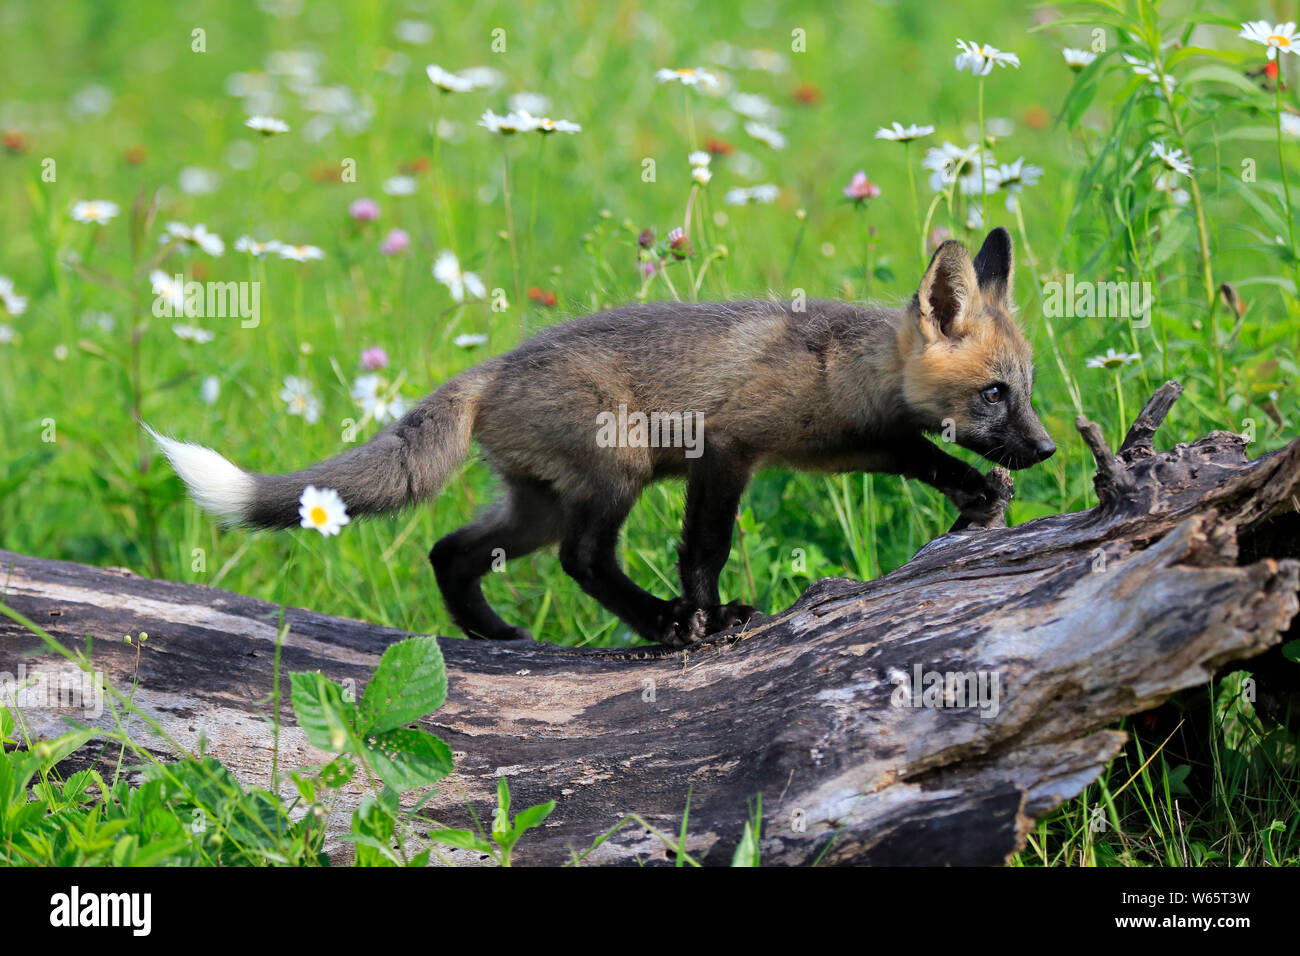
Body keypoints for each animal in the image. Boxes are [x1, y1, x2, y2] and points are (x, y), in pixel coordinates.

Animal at [147, 228, 1050, 650]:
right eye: (994, 392)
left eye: (1028, 390)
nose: (1046, 451)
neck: (840, 371)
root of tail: (497, 365)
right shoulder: (729, 450)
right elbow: (704, 550)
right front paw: (709, 618)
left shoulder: (858, 447)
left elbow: (928, 459)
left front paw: (981, 494)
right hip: (615, 478)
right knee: (582, 560)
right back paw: (656, 624)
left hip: (538, 506)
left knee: (450, 550)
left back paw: (496, 637)